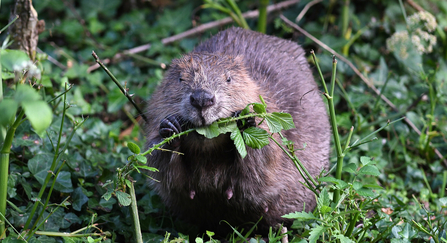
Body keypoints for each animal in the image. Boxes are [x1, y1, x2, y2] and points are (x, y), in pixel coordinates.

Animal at [145, 27, 330, 235]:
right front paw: (170, 128)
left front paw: (245, 121)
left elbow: (261, 167)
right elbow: (167, 174)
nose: (202, 99)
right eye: (180, 78)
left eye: (228, 78)